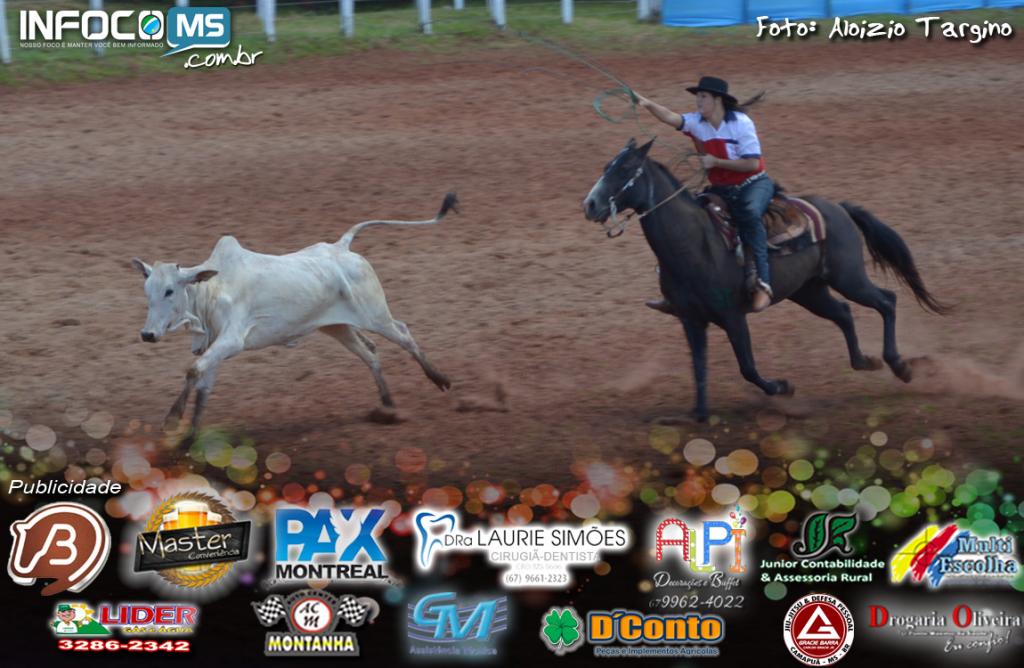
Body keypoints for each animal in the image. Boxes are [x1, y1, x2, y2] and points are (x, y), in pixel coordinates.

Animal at [131, 193, 457, 436]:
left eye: (170, 291)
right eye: (147, 291)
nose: (147, 334)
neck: (211, 290)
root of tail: (341, 247)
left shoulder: (232, 340)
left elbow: (193, 371)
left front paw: (171, 420)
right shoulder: (214, 345)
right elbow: (202, 386)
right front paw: (189, 440)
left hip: (375, 316)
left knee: (403, 334)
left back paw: (440, 379)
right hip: (337, 326)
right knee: (369, 351)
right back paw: (388, 404)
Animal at [582, 138, 948, 420]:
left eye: (626, 170)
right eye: (605, 167)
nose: (590, 204)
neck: (694, 244)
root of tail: (839, 208)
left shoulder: (733, 316)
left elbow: (747, 366)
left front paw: (782, 387)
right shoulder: (690, 319)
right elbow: (699, 367)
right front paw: (698, 415)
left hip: (849, 278)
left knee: (887, 301)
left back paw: (900, 366)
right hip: (809, 291)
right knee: (844, 313)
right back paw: (864, 361)